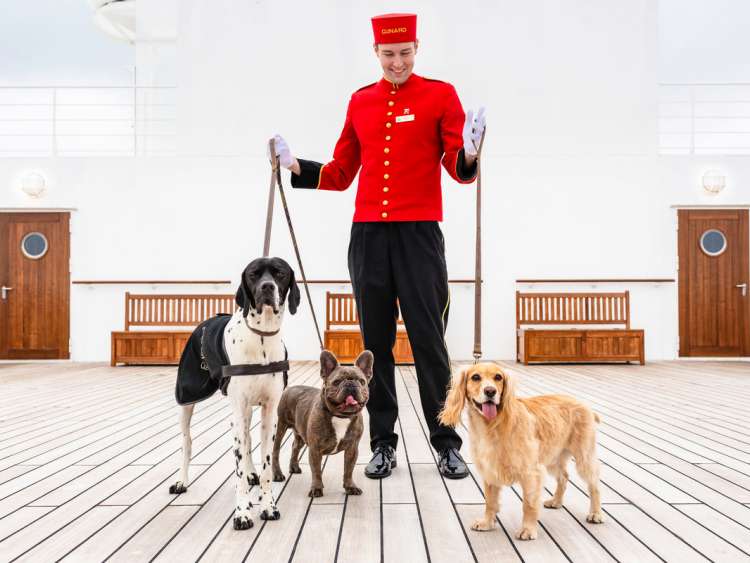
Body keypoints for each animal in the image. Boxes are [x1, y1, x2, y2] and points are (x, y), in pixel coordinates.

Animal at [170, 258, 300, 532]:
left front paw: (268, 505)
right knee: (187, 443)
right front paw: (242, 512)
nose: (266, 287)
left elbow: (265, 463)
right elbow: (238, 468)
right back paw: (181, 481)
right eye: (253, 274)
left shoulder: (269, 411)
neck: (261, 337)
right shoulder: (238, 410)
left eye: (280, 273)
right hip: (187, 397)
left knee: (248, 441)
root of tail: (205, 322)